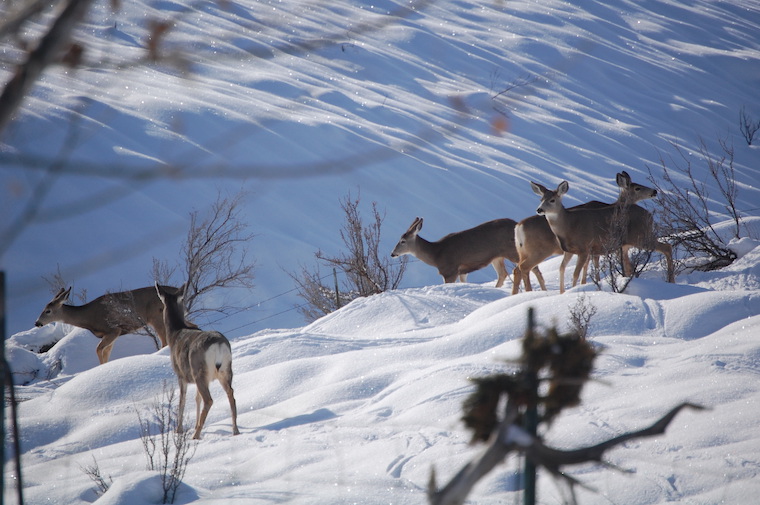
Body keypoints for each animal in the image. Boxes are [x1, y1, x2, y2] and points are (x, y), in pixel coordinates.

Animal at [35, 285, 180, 364]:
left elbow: (98, 349)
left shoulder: (113, 330)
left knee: (165, 341)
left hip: (156, 317)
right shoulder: (112, 334)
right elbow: (106, 352)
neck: (87, 318)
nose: (37, 323)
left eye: (48, 311)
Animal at [155, 282, 240, 440]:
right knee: (230, 394)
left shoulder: (181, 375)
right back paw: (235, 430)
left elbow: (182, 400)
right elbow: (196, 398)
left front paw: (179, 430)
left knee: (209, 399)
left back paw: (196, 435)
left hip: (199, 371)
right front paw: (194, 424)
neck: (174, 334)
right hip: (225, 370)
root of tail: (219, 345)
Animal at [390, 217, 542, 289]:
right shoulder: (462, 271)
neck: (436, 254)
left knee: (532, 267)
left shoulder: (450, 271)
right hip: (497, 257)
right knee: (503, 273)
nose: (392, 253)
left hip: (513, 250)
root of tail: (517, 224)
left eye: (402, 241)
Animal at [512, 171, 659, 294]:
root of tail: (518, 226)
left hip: (523, 251)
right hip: (540, 250)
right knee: (524, 268)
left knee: (520, 269)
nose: (654, 191)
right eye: (637, 188)